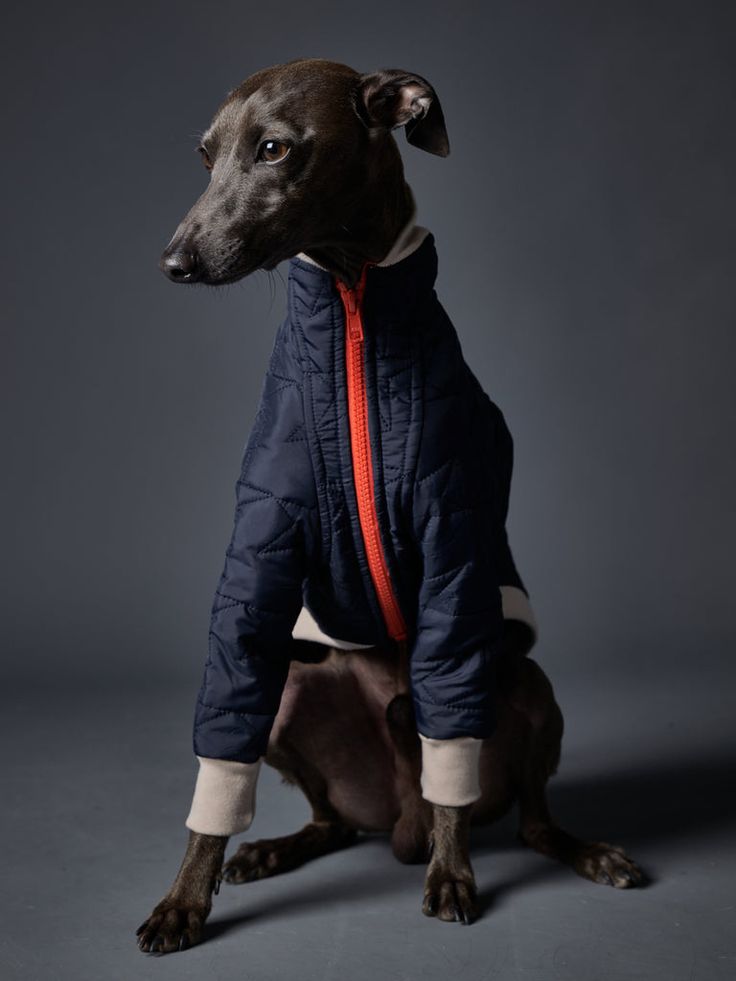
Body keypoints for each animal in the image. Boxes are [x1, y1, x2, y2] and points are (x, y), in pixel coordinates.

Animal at [138, 57, 644, 952]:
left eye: (274, 148)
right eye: (205, 155)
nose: (174, 261)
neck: (351, 302)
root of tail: (397, 813)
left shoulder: (455, 547)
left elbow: (452, 746)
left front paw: (453, 873)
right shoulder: (260, 552)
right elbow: (222, 746)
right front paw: (186, 895)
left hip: (528, 684)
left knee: (526, 816)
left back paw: (580, 850)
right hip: (294, 696)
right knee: (334, 818)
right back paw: (276, 846)